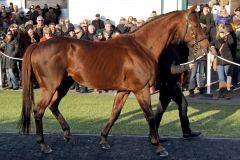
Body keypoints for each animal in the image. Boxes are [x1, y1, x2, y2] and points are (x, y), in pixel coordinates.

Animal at [19, 5, 208, 157]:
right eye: (196, 25)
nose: (206, 48)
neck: (142, 47)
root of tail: (37, 45)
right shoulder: (141, 89)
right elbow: (149, 116)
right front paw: (159, 146)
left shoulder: (124, 90)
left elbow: (115, 113)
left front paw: (103, 140)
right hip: (50, 87)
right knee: (38, 111)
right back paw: (43, 144)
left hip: (63, 85)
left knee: (53, 105)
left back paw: (66, 132)